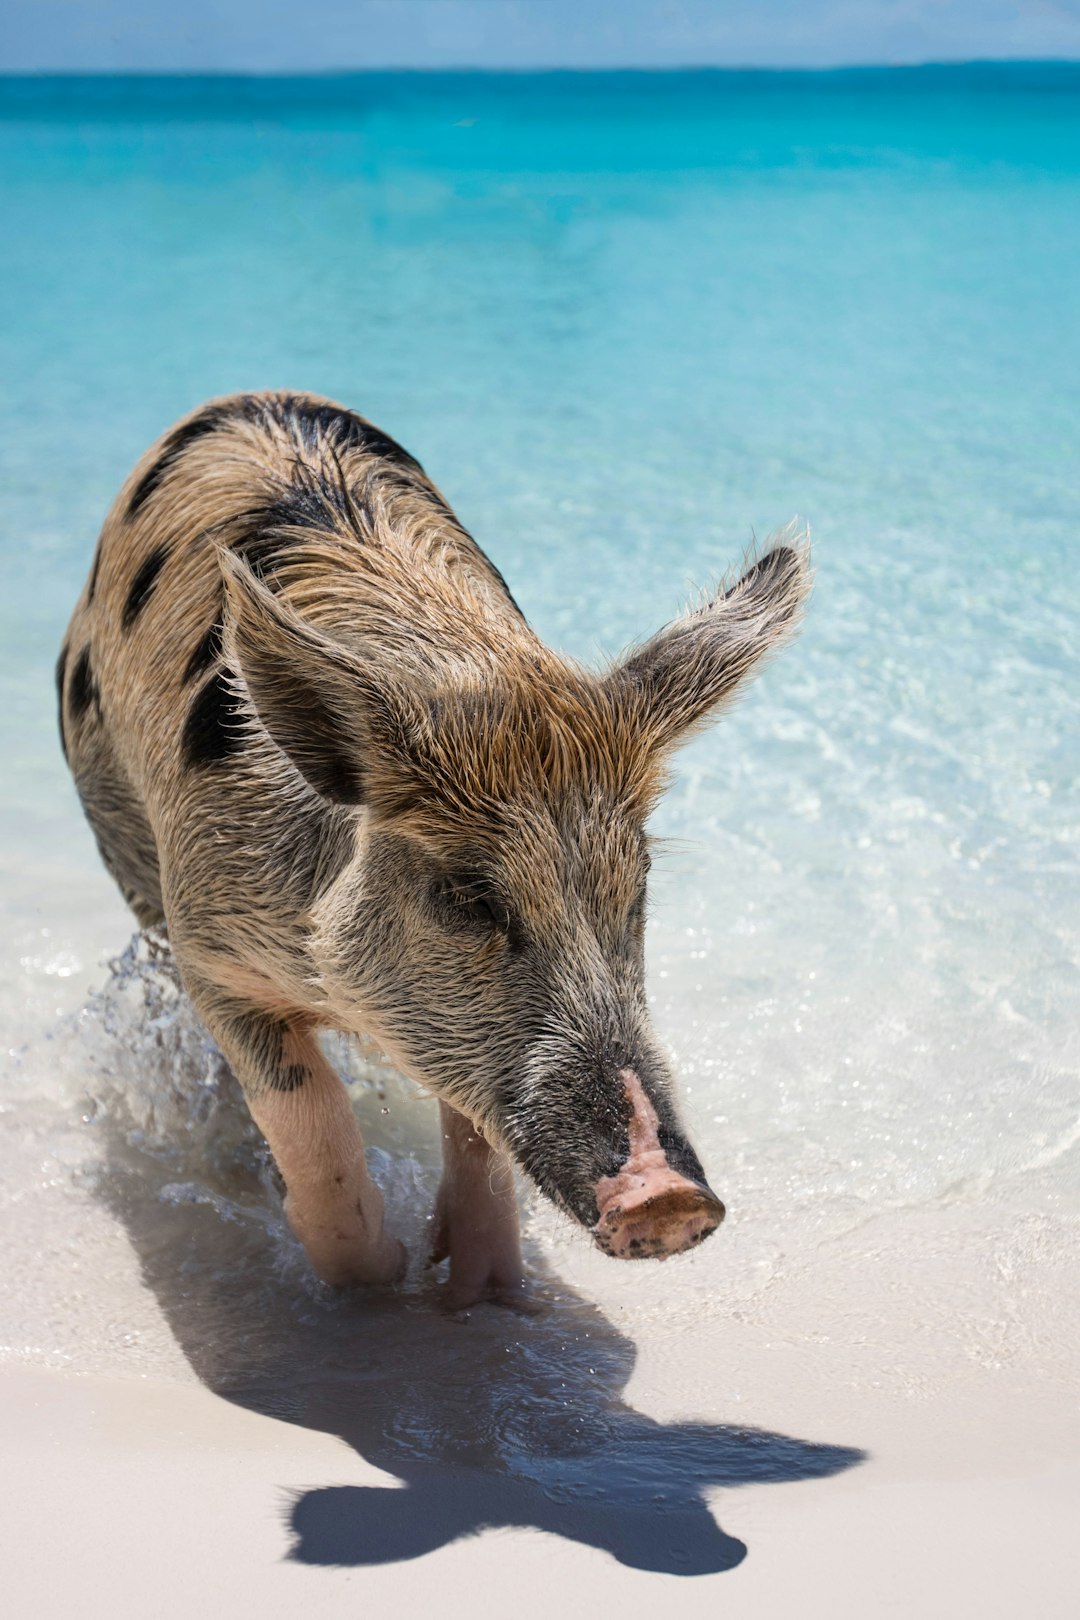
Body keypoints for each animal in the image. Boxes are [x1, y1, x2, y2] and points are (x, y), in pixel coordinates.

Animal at [55, 388, 806, 1302]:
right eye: (467, 896)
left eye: (638, 885)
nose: (667, 1198)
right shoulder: (210, 941)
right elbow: (305, 1109)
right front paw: (380, 1274)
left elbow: (475, 1126)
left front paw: (481, 1289)